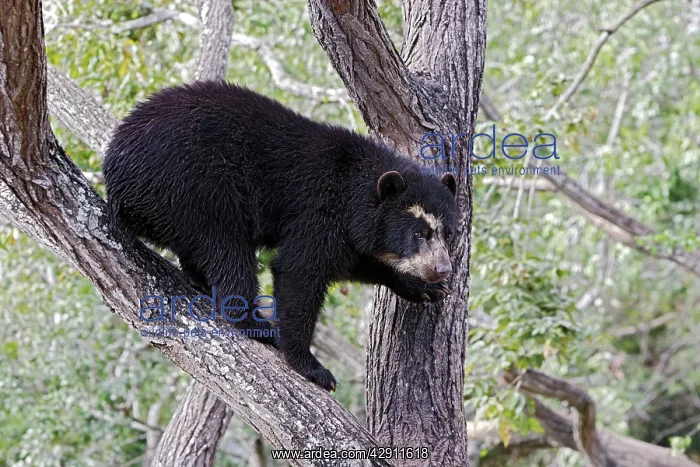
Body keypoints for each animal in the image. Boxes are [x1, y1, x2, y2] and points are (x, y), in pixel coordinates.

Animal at [103, 81, 458, 392]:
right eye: (419, 232)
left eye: (449, 234)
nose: (443, 270)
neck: (354, 192)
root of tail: (115, 176)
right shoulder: (319, 210)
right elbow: (299, 270)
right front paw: (311, 366)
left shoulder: (346, 231)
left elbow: (355, 261)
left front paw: (423, 288)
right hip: (195, 186)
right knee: (226, 250)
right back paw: (258, 325)